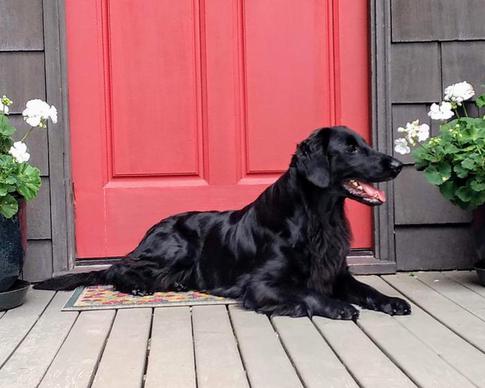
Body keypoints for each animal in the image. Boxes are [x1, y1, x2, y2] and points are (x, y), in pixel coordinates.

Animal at [36, 126, 410, 320]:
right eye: (351, 149)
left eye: (365, 144)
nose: (397, 165)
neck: (319, 217)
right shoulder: (261, 284)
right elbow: (307, 292)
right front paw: (338, 306)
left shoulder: (336, 271)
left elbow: (367, 289)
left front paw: (391, 301)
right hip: (177, 246)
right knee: (118, 267)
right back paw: (138, 286)